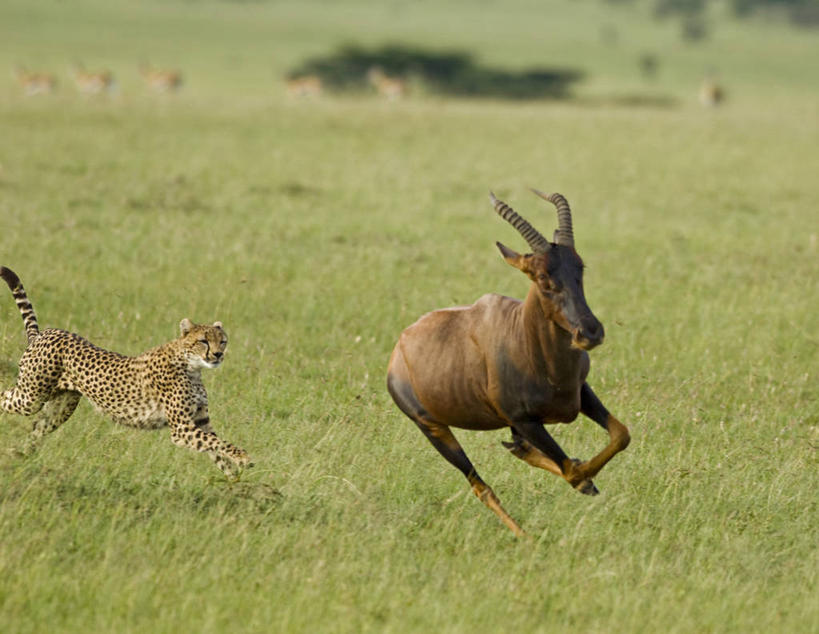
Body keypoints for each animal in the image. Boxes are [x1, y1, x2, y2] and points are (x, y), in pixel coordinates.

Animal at [0, 264, 250, 476]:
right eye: (204, 341)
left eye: (223, 341)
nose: (218, 355)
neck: (191, 367)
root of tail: (44, 333)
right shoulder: (181, 428)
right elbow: (215, 442)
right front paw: (242, 458)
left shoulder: (199, 421)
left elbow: (214, 446)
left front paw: (232, 473)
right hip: (31, 396)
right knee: (5, 397)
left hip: (60, 407)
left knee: (36, 428)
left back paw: (18, 455)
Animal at [388, 186, 632, 532]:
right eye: (541, 276)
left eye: (579, 266)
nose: (590, 332)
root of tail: (400, 347)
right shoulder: (523, 420)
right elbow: (572, 471)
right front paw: (584, 480)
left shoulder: (581, 393)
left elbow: (620, 434)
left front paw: (588, 478)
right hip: (432, 427)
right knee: (482, 487)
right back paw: (524, 535)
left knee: (521, 452)